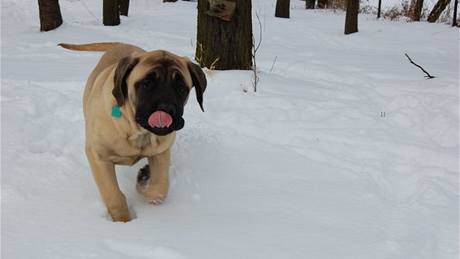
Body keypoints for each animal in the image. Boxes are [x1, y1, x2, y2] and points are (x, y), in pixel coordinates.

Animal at [59, 42, 207, 223]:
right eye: (146, 83)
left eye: (181, 88)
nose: (166, 108)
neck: (138, 132)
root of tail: (123, 44)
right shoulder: (99, 157)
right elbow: (113, 194)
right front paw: (124, 221)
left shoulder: (162, 152)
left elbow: (159, 188)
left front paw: (145, 178)